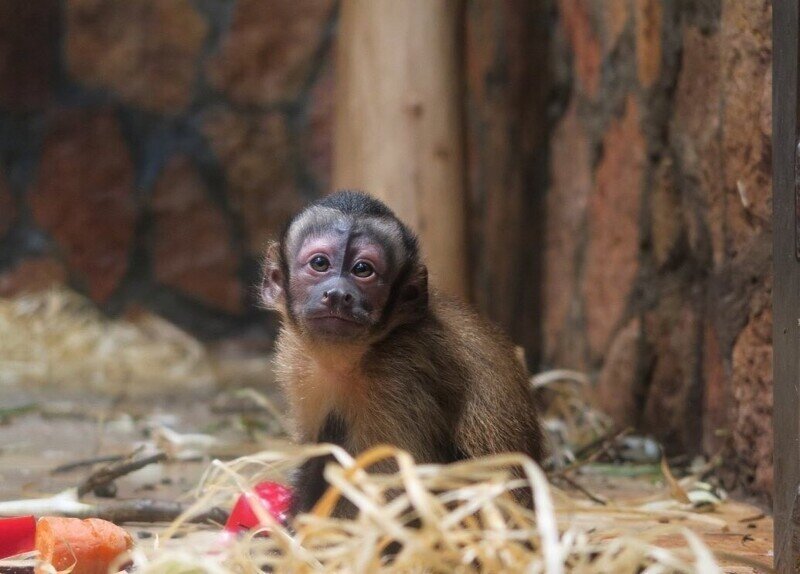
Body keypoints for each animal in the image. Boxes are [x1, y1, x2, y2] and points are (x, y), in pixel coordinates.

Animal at [260, 190, 548, 516]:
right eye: (320, 263)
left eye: (362, 270)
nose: (338, 294)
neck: (353, 357)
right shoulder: (299, 362)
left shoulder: (398, 373)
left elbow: (395, 487)